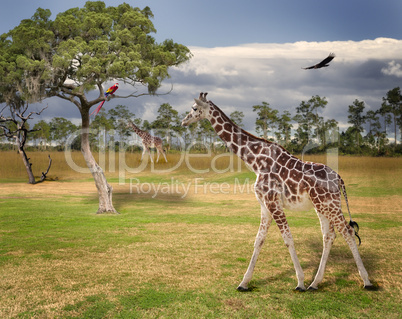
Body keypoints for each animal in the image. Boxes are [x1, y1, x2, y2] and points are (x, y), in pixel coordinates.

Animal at [181, 92, 372, 292]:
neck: (256, 162)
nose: (184, 121)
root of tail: (339, 179)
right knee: (329, 235)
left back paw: (366, 281)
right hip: (321, 206)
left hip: (330, 204)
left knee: (347, 232)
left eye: (194, 108)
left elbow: (288, 239)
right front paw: (244, 283)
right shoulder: (265, 205)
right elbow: (258, 240)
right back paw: (315, 283)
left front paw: (300, 282)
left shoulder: (273, 202)